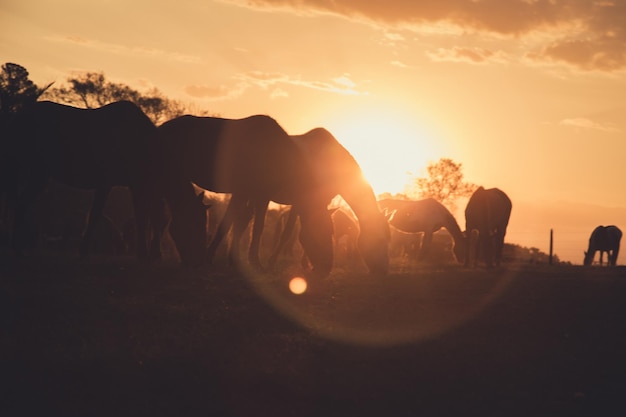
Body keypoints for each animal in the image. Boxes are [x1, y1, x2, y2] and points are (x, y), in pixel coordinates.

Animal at [6, 100, 162, 256]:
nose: (157, 255)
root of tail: (18, 117)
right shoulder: (112, 183)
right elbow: (102, 215)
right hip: (37, 170)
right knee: (21, 203)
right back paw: (17, 248)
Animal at [156, 114, 334, 276]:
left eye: (332, 231)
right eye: (323, 231)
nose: (327, 268)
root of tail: (161, 128)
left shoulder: (247, 193)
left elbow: (237, 223)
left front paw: (231, 260)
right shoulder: (258, 195)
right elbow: (253, 227)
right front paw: (253, 262)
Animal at [270, 127, 390, 276]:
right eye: (380, 240)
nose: (383, 270)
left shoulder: (319, 203)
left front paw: (308, 264)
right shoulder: (300, 202)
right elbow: (288, 233)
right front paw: (271, 264)